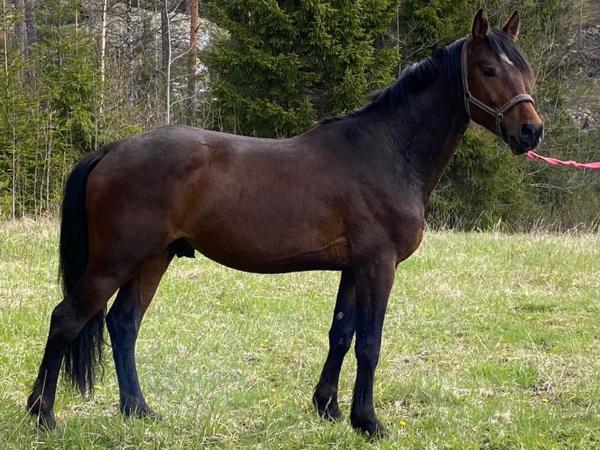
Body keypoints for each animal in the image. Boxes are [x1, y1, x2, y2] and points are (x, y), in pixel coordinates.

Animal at [27, 9, 543, 437]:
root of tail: (111, 150)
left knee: (124, 324)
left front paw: (328, 409)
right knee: (67, 318)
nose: (531, 131)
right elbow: (369, 343)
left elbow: (341, 335)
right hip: (115, 260)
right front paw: (368, 422)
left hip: (153, 258)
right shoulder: (378, 265)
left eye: (525, 68)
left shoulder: (353, 268)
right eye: (488, 69)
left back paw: (137, 409)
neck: (387, 152)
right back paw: (43, 414)